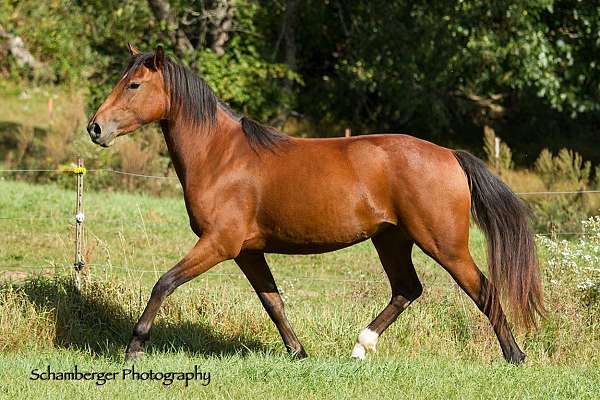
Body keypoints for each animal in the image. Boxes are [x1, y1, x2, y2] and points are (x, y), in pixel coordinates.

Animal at [88, 45, 544, 364]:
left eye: (133, 85)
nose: (96, 128)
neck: (221, 156)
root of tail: (450, 154)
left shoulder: (219, 244)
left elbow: (164, 283)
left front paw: (135, 347)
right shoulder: (247, 251)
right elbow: (272, 302)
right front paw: (298, 351)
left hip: (444, 243)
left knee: (483, 289)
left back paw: (515, 356)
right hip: (392, 239)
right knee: (407, 289)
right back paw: (361, 346)